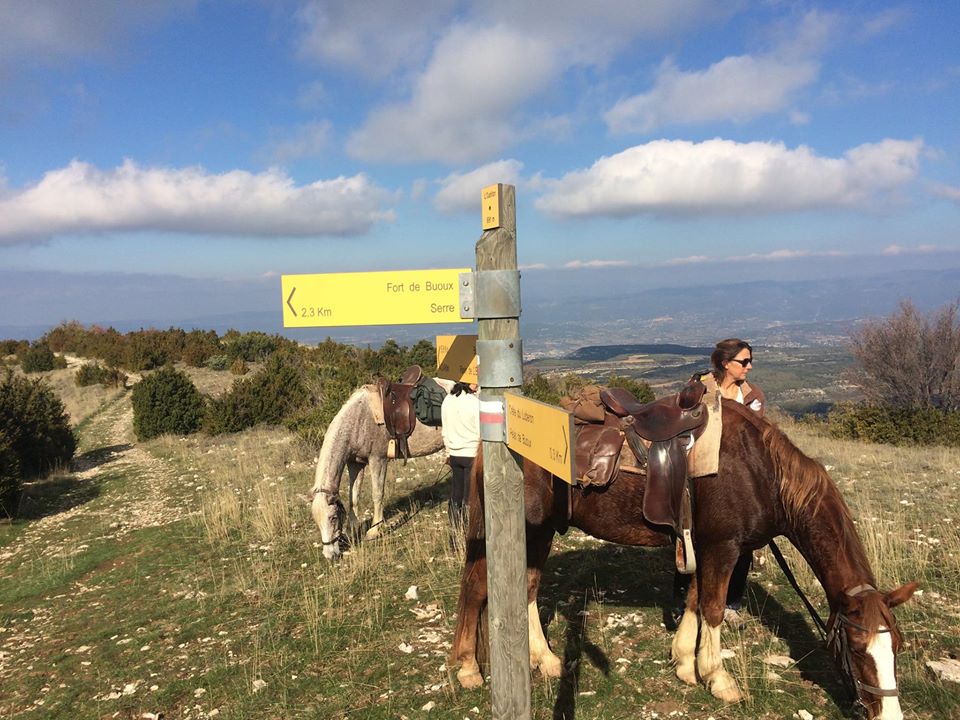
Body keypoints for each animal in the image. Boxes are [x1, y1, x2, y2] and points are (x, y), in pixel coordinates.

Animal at [310, 382, 451, 560]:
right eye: (316, 521)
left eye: (333, 518)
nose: (330, 555)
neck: (358, 421)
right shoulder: (355, 464)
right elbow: (353, 498)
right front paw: (352, 531)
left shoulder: (378, 460)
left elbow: (377, 495)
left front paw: (374, 531)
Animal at [451, 399, 917, 720]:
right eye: (856, 649)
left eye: (895, 645)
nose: (891, 715)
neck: (760, 470)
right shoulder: (725, 547)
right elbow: (712, 608)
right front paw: (718, 678)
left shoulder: (706, 545)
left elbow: (694, 600)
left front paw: (684, 663)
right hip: (523, 528)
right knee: (477, 588)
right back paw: (469, 669)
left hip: (541, 531)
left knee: (527, 586)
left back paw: (544, 659)